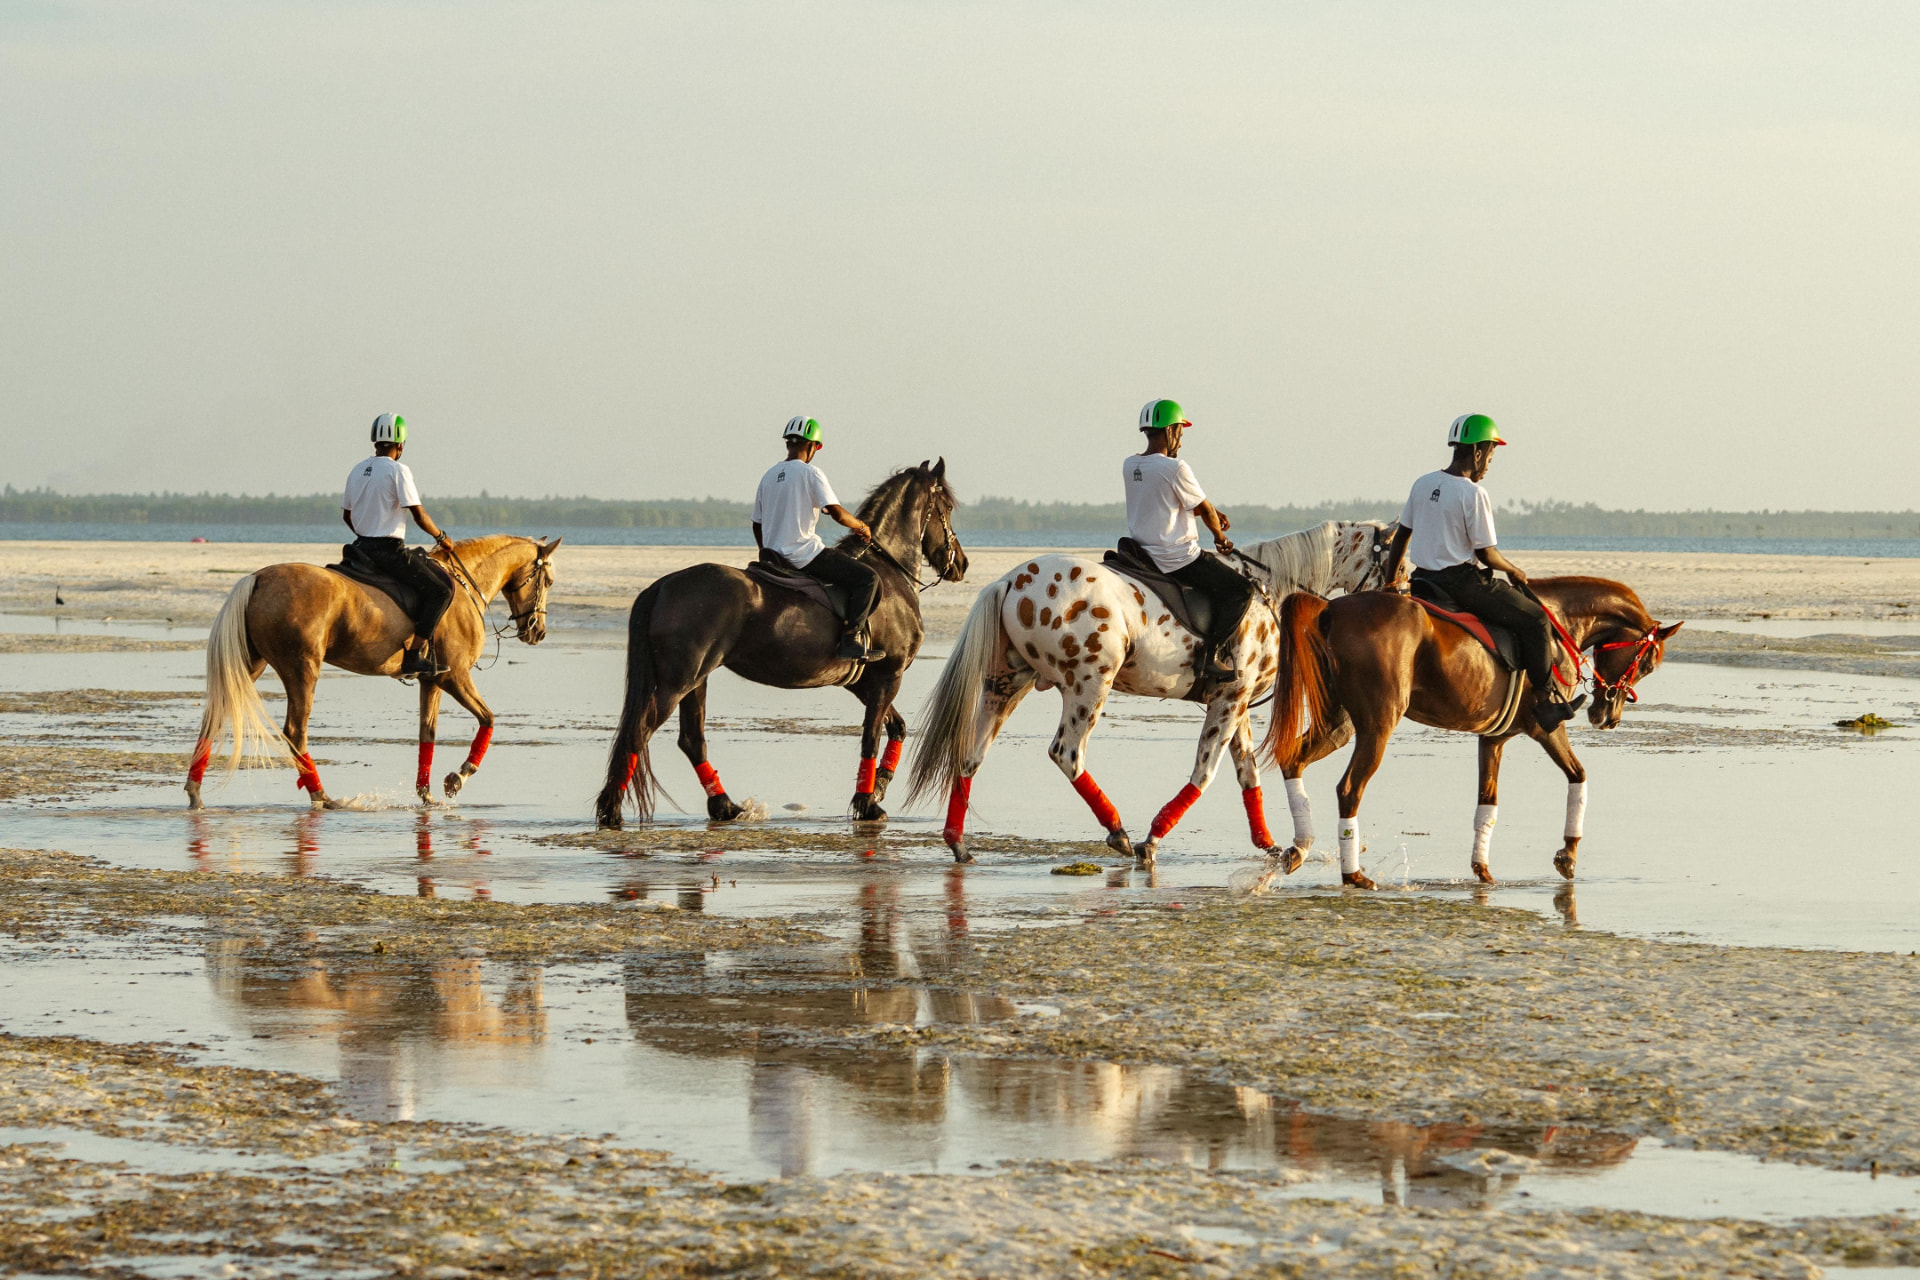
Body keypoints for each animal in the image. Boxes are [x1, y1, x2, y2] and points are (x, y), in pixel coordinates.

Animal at [184, 535, 562, 809]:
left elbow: (427, 733)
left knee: (214, 717)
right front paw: (459, 777)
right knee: (295, 731)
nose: (538, 632)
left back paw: (195, 791)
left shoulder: (432, 680)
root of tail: (258, 577)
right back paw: (321, 795)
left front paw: (426, 794)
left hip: (253, 662)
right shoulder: (454, 677)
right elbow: (488, 719)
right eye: (548, 580)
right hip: (302, 668)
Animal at [593, 461, 966, 830]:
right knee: (640, 731)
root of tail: (663, 585)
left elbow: (896, 729)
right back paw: (612, 809)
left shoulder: (864, 681)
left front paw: (879, 788)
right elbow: (871, 738)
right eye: (947, 508)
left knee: (691, 739)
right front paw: (867, 803)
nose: (960, 564)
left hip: (696, 679)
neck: (887, 574)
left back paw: (724, 806)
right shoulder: (889, 675)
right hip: (678, 681)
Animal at [905, 520, 1402, 864]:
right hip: (1090, 684)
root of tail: (1009, 580)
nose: (1397, 606)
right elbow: (1205, 773)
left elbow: (1248, 775)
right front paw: (1153, 838)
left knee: (970, 754)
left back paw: (957, 843)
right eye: (1396, 565)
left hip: (1008, 685)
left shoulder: (1237, 704)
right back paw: (1119, 833)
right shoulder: (1229, 701)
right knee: (1067, 753)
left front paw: (1270, 845)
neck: (1270, 593)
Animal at [1266, 575, 1681, 887]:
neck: (1560, 623)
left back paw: (1299, 848)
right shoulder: (1547, 729)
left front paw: (1482, 870)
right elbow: (1578, 776)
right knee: (1349, 789)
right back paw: (1353, 875)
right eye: (1647, 663)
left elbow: (1488, 803)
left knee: (1293, 761)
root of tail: (1333, 609)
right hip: (1378, 726)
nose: (1608, 716)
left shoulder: (1493, 738)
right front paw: (1568, 853)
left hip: (1340, 724)